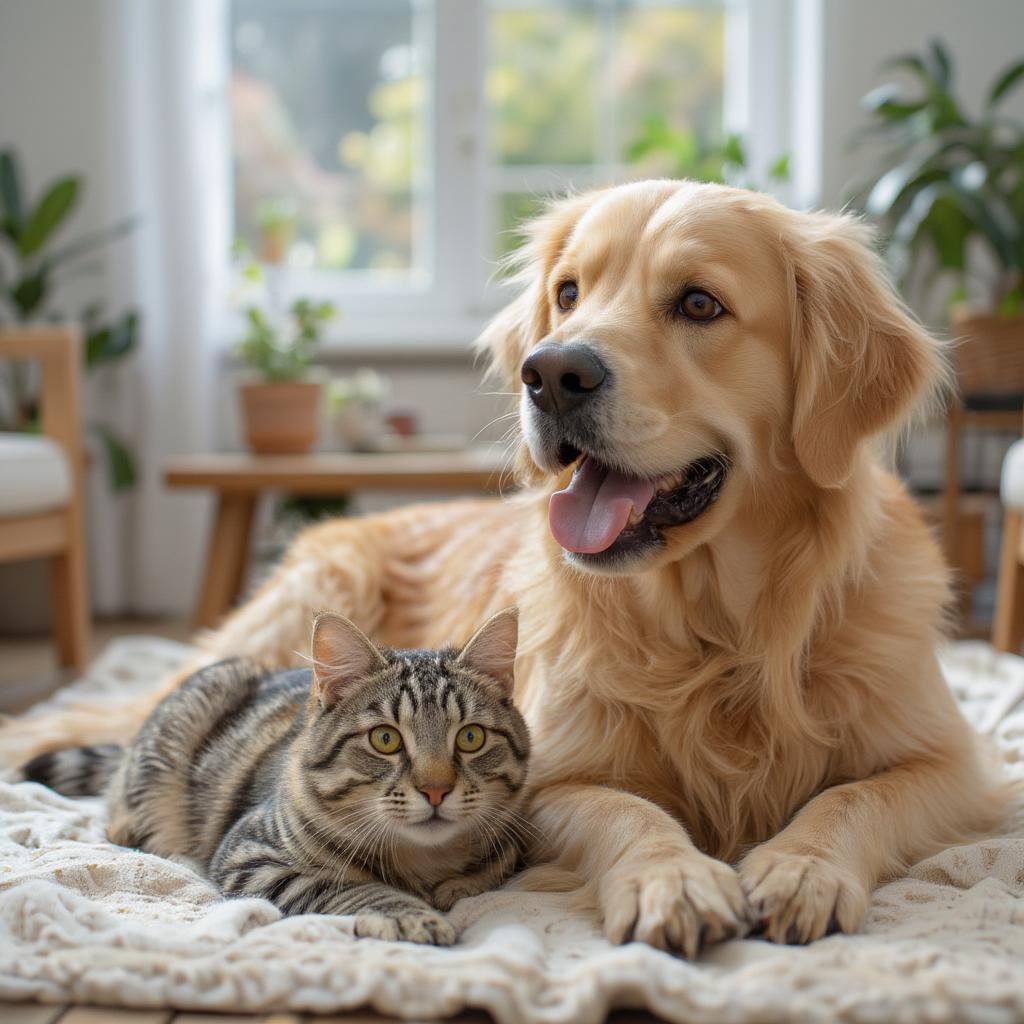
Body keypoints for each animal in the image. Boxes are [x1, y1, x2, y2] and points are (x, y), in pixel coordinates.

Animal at [19, 602, 532, 946]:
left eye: (470, 738)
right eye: (385, 739)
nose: (435, 789)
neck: (425, 860)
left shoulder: (509, 845)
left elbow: (488, 871)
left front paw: (455, 887)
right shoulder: (252, 853)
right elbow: (352, 885)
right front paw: (408, 912)